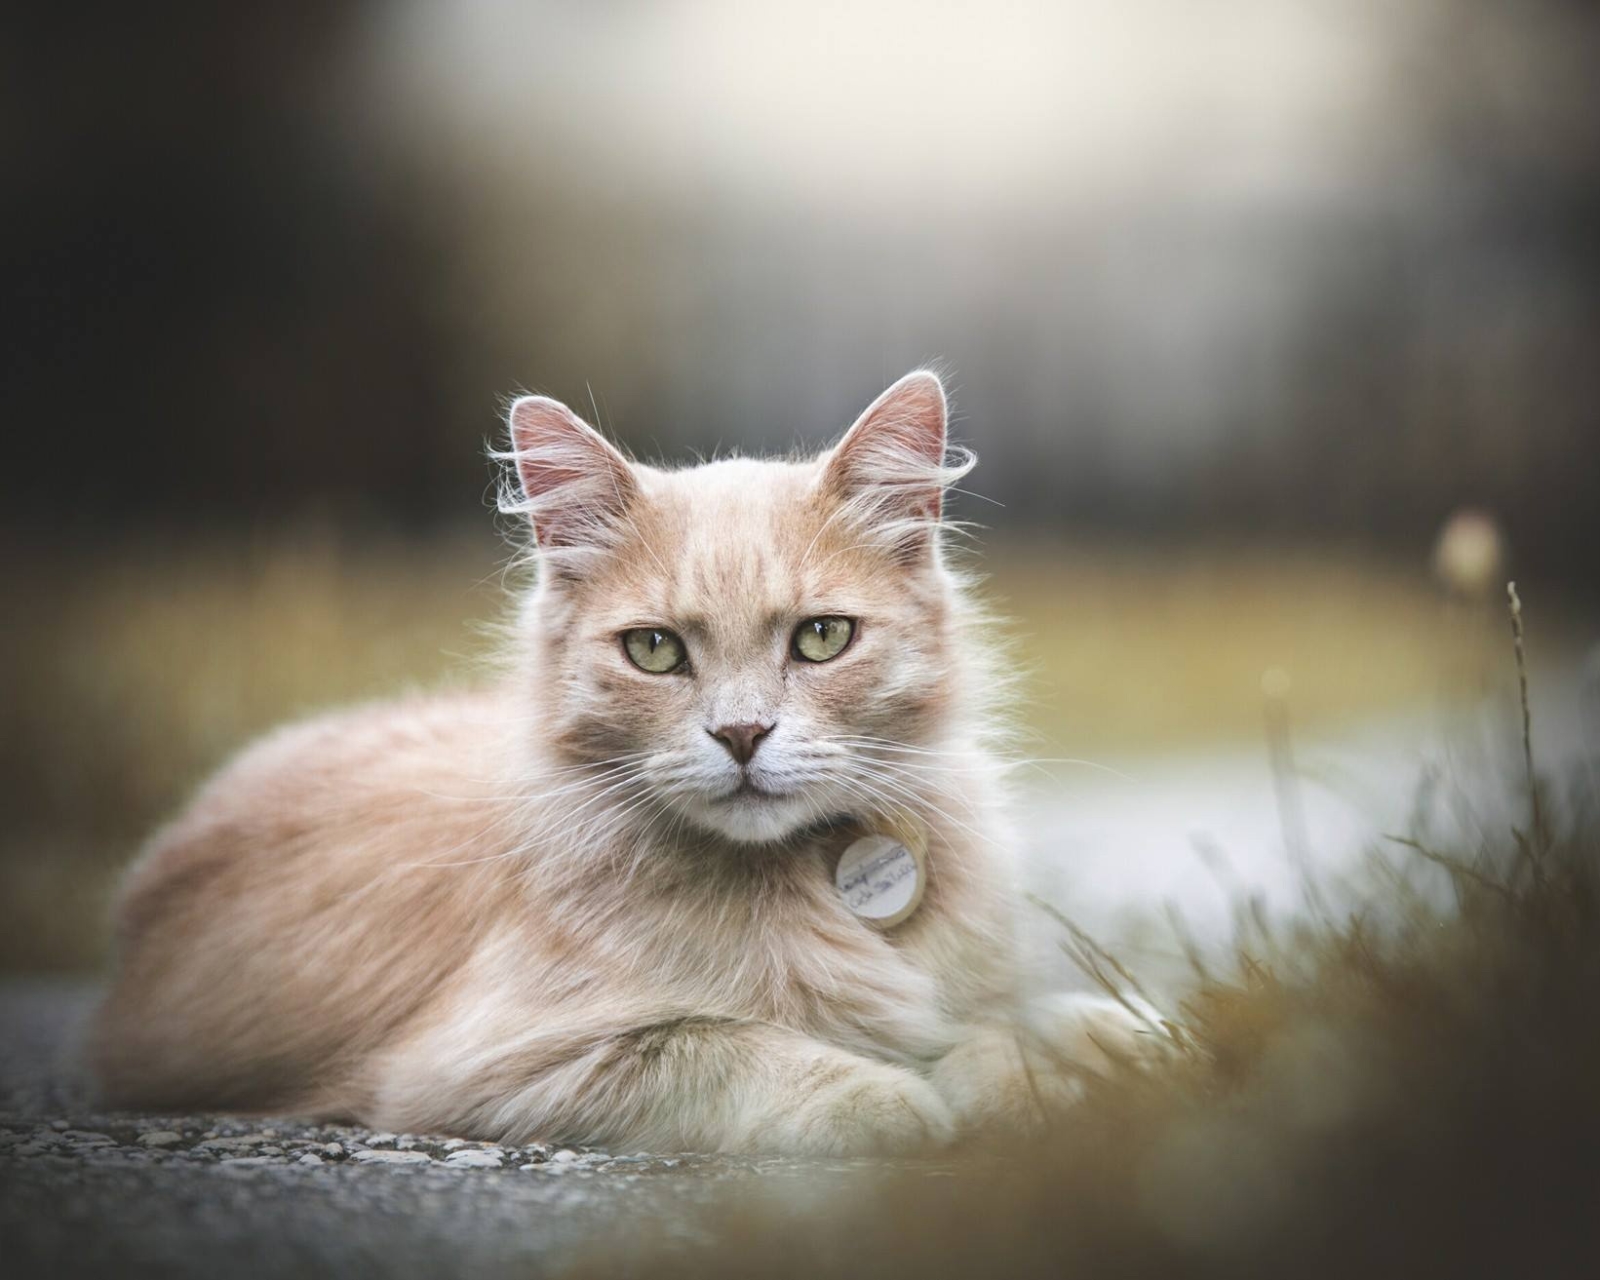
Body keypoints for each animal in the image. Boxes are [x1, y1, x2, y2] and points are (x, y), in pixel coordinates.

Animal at [87, 369, 1145, 1152]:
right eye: (655, 651)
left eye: (820, 639)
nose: (742, 735)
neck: (802, 881)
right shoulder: (492, 1065)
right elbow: (727, 1047)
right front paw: (903, 1096)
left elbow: (1025, 1027)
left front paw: (1087, 1053)